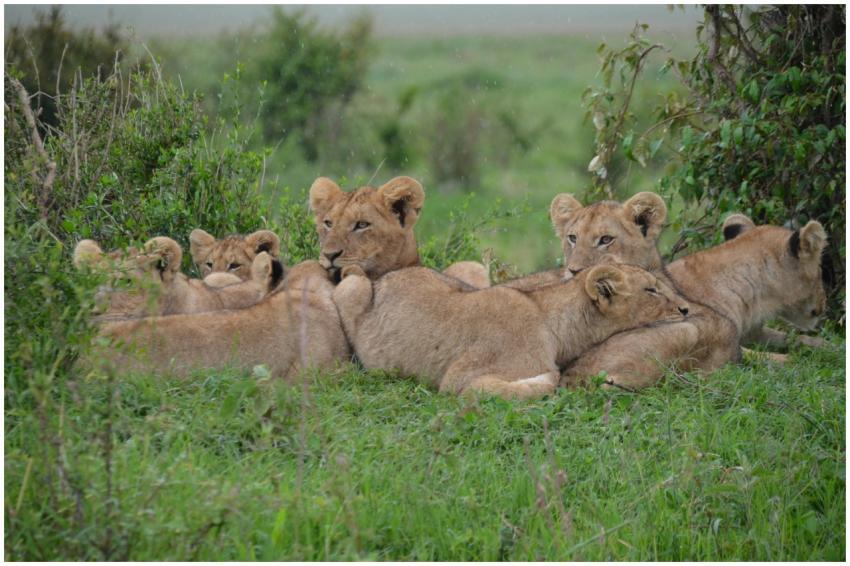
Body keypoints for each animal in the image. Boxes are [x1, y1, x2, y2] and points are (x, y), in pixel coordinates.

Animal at [332, 262, 689, 400]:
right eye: (651, 290)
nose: (686, 309)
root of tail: (384, 277)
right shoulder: (457, 381)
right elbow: (543, 382)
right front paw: (547, 379)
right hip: (351, 286)